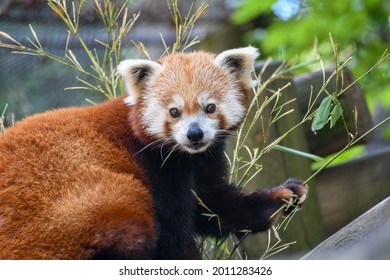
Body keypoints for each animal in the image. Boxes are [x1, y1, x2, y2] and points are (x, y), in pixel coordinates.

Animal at [0, 47, 308, 260]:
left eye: (209, 107)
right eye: (174, 111)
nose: (194, 134)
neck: (186, 155)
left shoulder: (199, 164)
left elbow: (214, 205)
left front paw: (282, 196)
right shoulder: (156, 168)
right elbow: (175, 235)